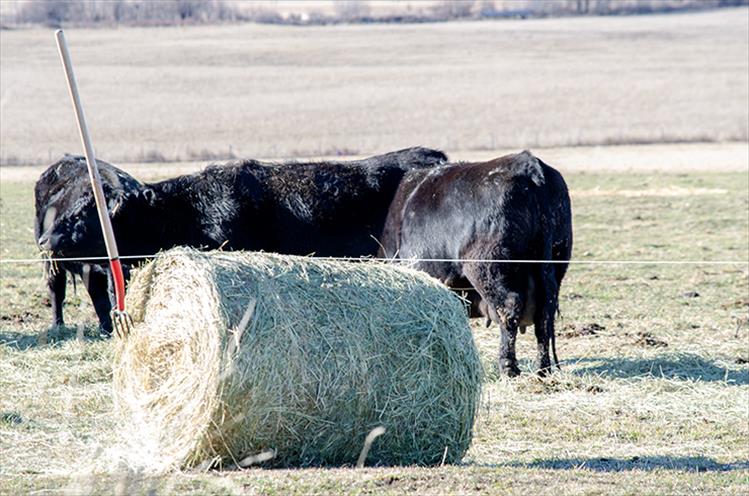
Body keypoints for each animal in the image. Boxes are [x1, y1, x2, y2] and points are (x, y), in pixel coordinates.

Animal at [380, 151, 572, 376]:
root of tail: (529, 166)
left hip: (486, 269)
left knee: (509, 308)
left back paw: (508, 366)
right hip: (555, 265)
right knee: (544, 315)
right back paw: (543, 369)